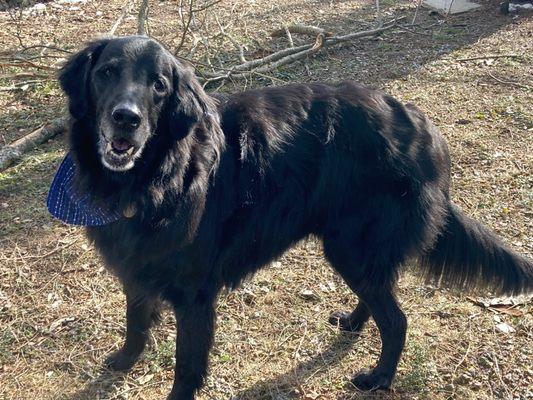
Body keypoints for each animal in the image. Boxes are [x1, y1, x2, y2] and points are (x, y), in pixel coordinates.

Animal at [56, 36, 528, 398]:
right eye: (106, 73)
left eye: (158, 85)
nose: (126, 119)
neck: (161, 172)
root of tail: (423, 127)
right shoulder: (137, 270)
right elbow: (136, 323)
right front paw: (123, 361)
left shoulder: (195, 295)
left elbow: (186, 366)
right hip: (355, 251)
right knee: (381, 298)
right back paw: (353, 323)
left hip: (353, 247)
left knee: (396, 320)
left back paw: (379, 378)